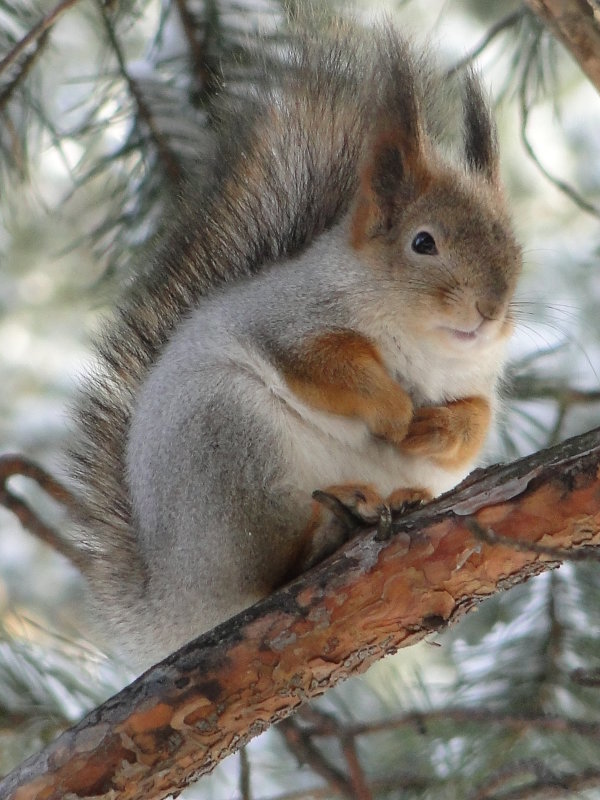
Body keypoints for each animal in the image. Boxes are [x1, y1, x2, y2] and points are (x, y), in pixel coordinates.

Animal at [68, 20, 524, 668]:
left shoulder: (478, 383)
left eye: (513, 245)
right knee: (272, 563)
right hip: (230, 444)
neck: (425, 345)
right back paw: (334, 523)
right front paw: (395, 411)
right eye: (423, 242)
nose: (490, 310)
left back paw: (397, 497)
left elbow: (474, 427)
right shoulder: (290, 325)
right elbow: (333, 368)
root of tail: (176, 605)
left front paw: (430, 429)